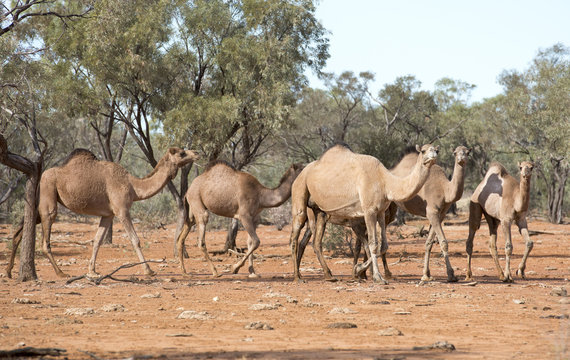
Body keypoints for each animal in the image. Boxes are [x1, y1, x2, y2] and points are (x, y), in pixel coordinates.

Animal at [5, 146, 197, 278]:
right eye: (181, 153)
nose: (196, 153)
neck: (133, 186)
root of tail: (40, 177)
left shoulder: (108, 214)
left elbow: (97, 240)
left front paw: (92, 270)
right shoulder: (121, 210)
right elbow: (135, 240)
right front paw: (149, 270)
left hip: (40, 201)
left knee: (20, 230)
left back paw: (8, 271)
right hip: (48, 191)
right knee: (46, 235)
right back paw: (61, 273)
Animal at [176, 162, 304, 278]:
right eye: (302, 168)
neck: (260, 195)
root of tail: (188, 191)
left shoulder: (254, 218)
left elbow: (250, 242)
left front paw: (252, 272)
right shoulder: (244, 215)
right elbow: (256, 241)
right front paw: (235, 268)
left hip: (192, 211)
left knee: (182, 236)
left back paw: (184, 272)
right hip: (197, 201)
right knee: (201, 239)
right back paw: (215, 272)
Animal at [290, 144, 438, 284]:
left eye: (436, 149)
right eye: (423, 151)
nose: (434, 154)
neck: (384, 181)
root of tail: (301, 173)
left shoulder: (380, 212)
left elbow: (383, 246)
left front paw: (358, 270)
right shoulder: (369, 211)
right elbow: (372, 244)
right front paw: (377, 277)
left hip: (320, 211)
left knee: (316, 241)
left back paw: (329, 276)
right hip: (300, 190)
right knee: (295, 235)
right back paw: (297, 277)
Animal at [386, 145, 470, 282]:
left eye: (468, 152)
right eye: (454, 153)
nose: (461, 158)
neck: (445, 189)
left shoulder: (440, 214)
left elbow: (429, 243)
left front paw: (426, 274)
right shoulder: (432, 212)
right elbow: (443, 242)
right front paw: (451, 275)